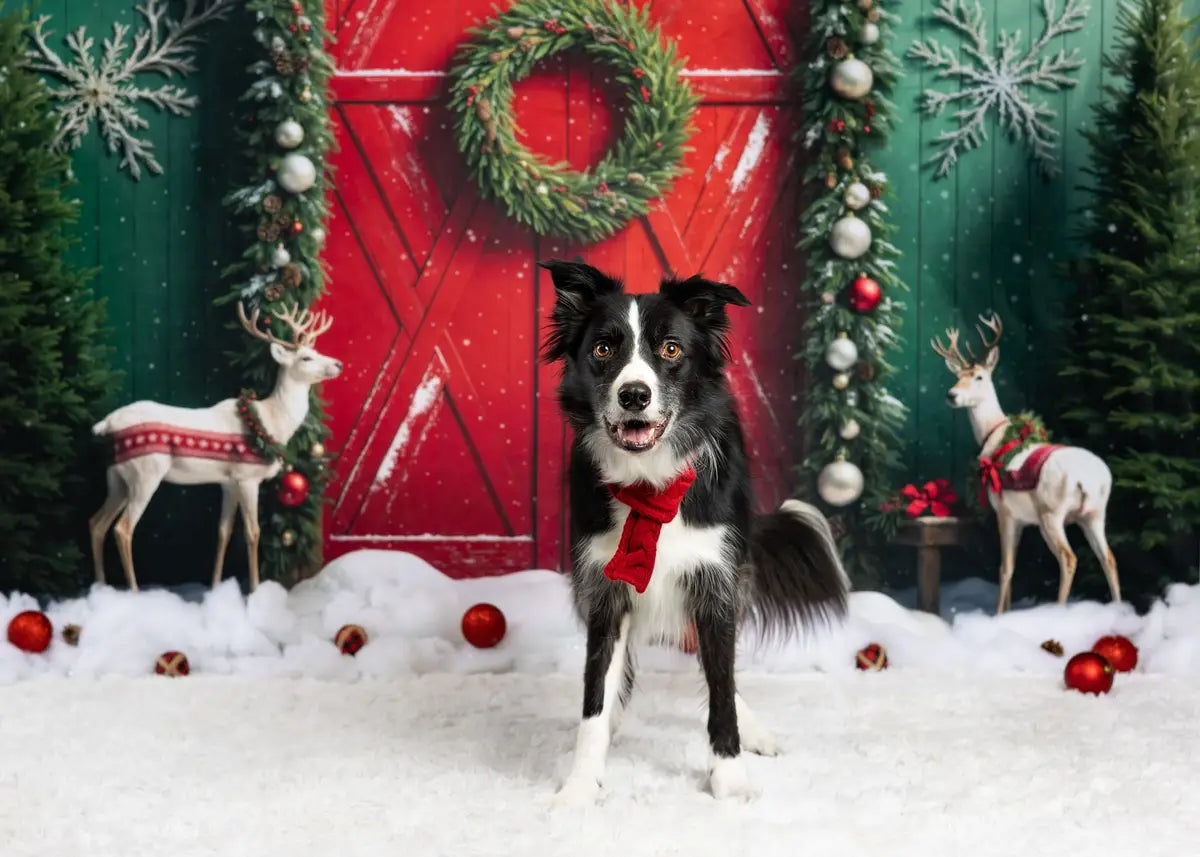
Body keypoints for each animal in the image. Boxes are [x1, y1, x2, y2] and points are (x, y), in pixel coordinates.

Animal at [89, 303, 342, 592]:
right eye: (305, 358)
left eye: (317, 351)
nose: (338, 364)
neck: (271, 421)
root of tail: (107, 424)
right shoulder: (247, 478)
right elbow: (253, 532)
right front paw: (254, 590)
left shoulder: (228, 482)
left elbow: (223, 532)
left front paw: (216, 586)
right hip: (145, 474)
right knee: (123, 529)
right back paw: (133, 591)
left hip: (116, 478)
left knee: (96, 523)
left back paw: (100, 587)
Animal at [932, 314, 1120, 614]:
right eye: (957, 376)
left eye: (979, 376)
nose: (952, 395)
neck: (995, 437)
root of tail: (1090, 479)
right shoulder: (1021, 518)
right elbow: (1013, 567)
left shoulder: (1004, 511)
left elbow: (1005, 568)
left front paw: (998, 614)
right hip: (1094, 514)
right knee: (1109, 558)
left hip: (1051, 513)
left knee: (1068, 558)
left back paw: (1059, 610)